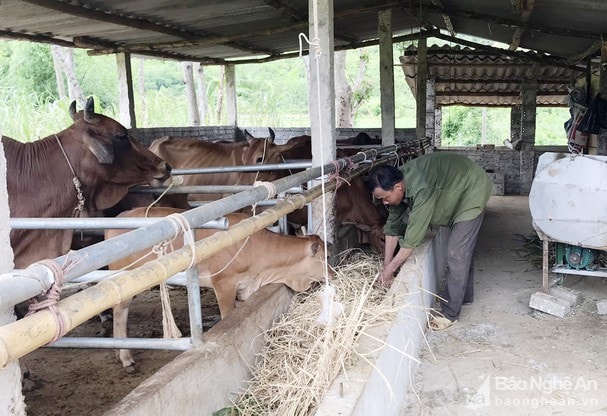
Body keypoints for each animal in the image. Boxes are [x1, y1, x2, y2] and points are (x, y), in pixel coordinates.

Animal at [104, 208, 332, 370]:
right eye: (325, 257)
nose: (333, 271)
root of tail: (120, 216)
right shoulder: (223, 284)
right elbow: (227, 316)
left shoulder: (244, 288)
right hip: (124, 282)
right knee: (120, 311)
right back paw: (125, 357)